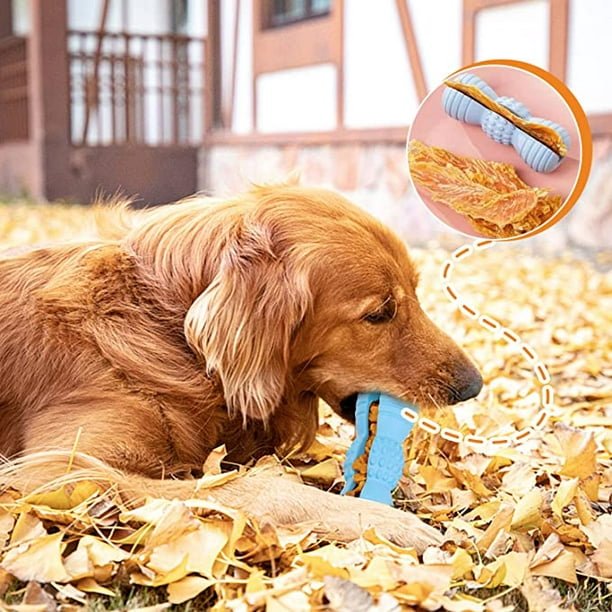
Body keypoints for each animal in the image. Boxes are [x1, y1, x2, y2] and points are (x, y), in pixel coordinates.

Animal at [0, 182, 482, 548]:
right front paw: (382, 520)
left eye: (416, 292)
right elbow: (256, 486)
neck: (165, 324)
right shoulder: (56, 471)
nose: (473, 386)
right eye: (380, 313)